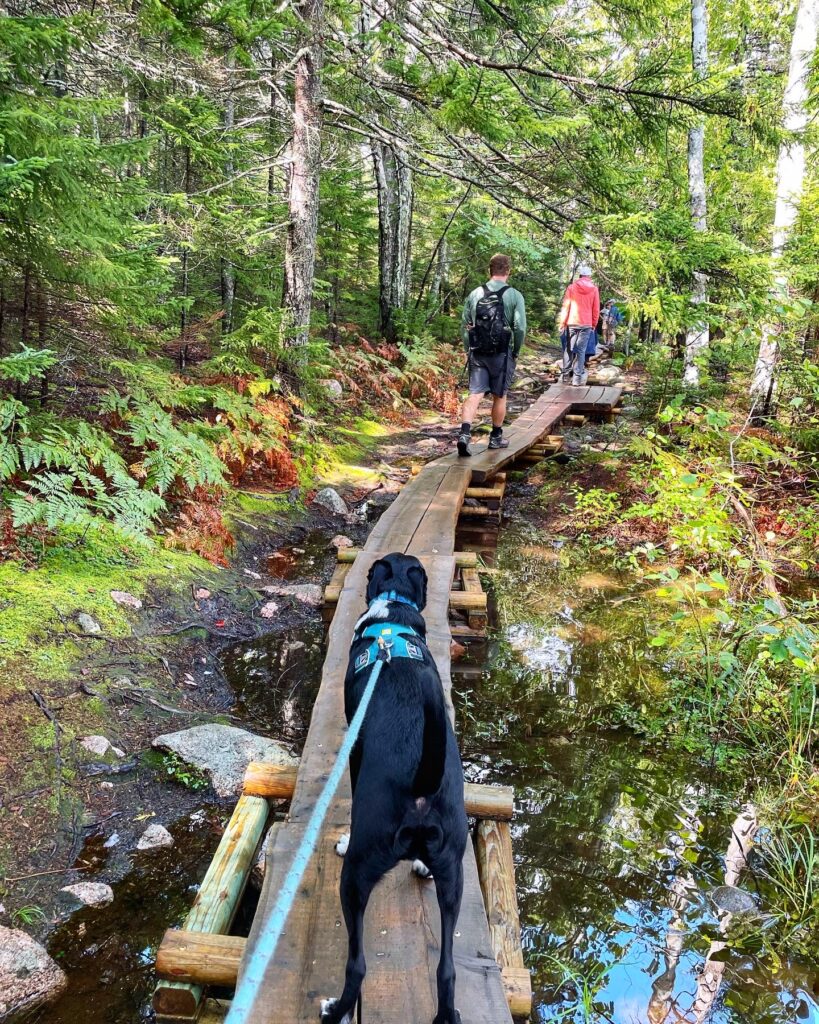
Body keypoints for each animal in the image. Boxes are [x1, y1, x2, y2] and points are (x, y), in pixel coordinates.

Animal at [319, 557, 466, 1019]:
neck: (393, 611)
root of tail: (421, 787)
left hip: (354, 879)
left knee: (358, 965)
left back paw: (335, 1010)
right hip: (454, 876)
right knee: (446, 971)